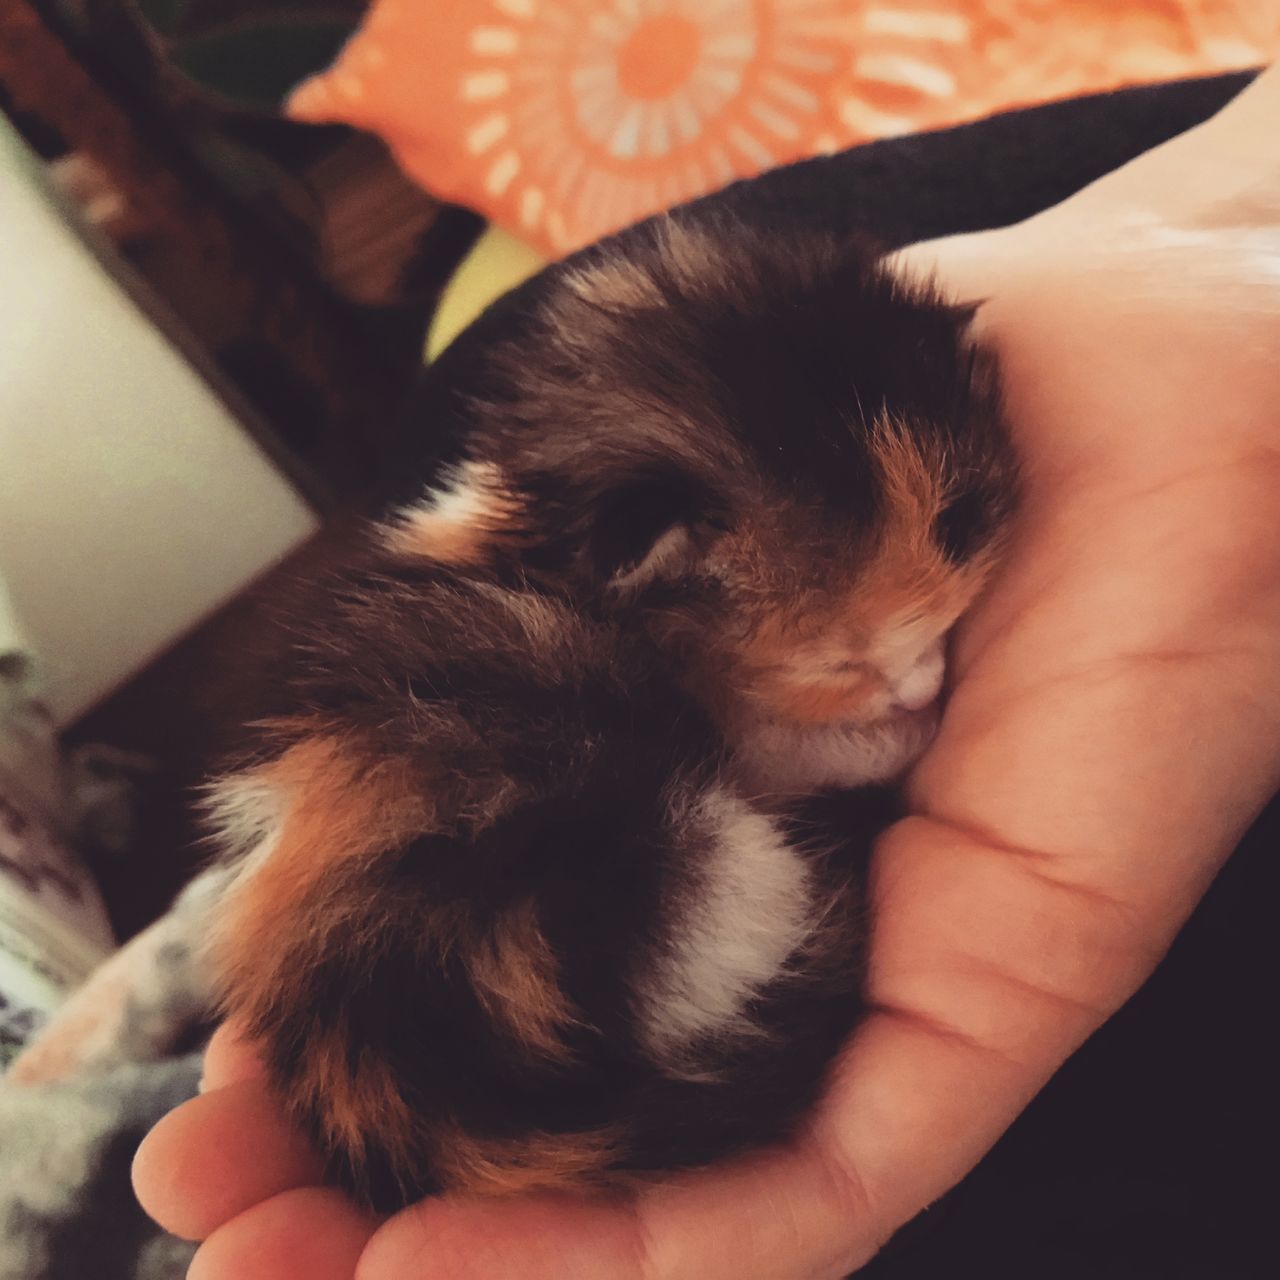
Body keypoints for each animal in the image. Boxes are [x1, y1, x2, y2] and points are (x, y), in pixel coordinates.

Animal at [202, 212, 1018, 1208]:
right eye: (838, 661)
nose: (924, 687)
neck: (548, 546)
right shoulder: (730, 734)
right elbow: (803, 746)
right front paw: (897, 731)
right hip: (670, 863)